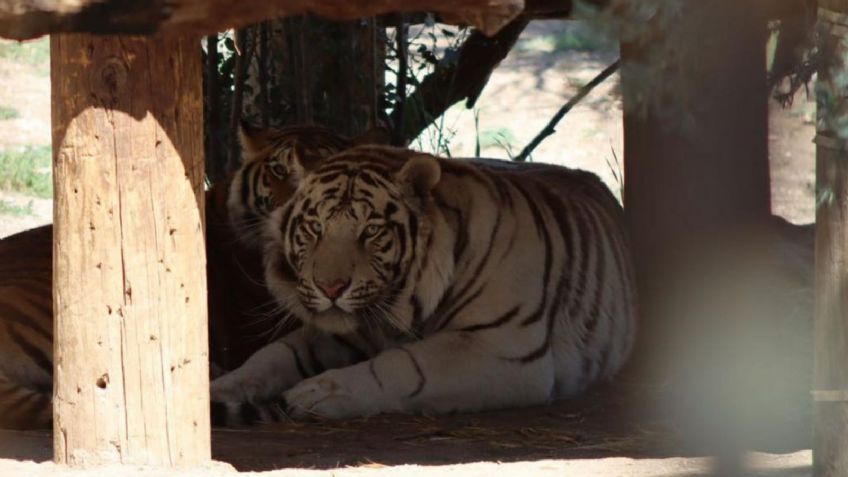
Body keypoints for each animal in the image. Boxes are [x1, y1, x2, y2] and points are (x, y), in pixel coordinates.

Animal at [210, 143, 636, 422]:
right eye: (315, 228)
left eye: (371, 231)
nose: (330, 288)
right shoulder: (346, 331)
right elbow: (273, 355)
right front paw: (214, 388)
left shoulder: (502, 347)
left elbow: (404, 365)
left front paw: (315, 393)